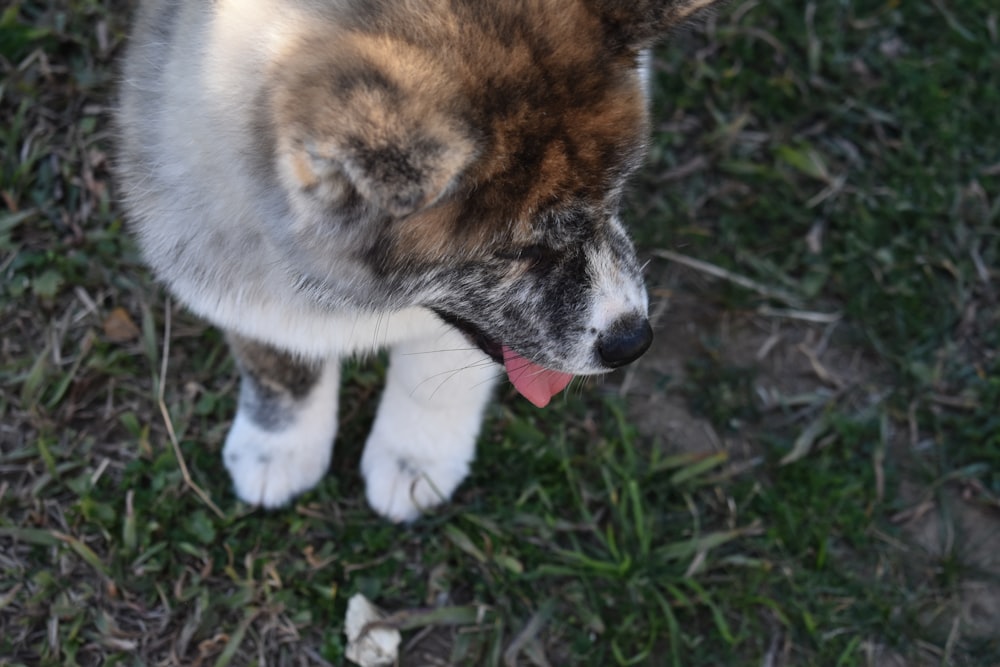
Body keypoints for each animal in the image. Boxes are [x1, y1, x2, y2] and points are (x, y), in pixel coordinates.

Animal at [117, 0, 720, 520]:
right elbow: (279, 359)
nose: (633, 342)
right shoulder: (222, 240)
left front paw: (415, 459)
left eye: (615, 196)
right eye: (516, 251)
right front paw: (278, 446)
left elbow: (432, 378)